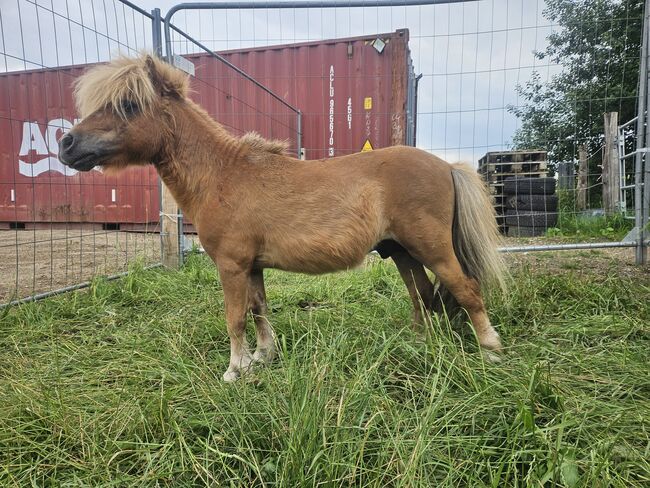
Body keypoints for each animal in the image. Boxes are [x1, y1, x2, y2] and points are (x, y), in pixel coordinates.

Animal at [59, 54, 506, 382]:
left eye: (129, 105)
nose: (66, 144)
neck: (222, 175)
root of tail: (446, 166)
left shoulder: (232, 265)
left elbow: (236, 317)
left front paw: (234, 370)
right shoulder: (253, 267)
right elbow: (259, 310)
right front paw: (263, 357)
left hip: (431, 248)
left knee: (466, 289)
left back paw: (491, 349)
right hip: (402, 252)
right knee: (422, 296)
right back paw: (419, 344)